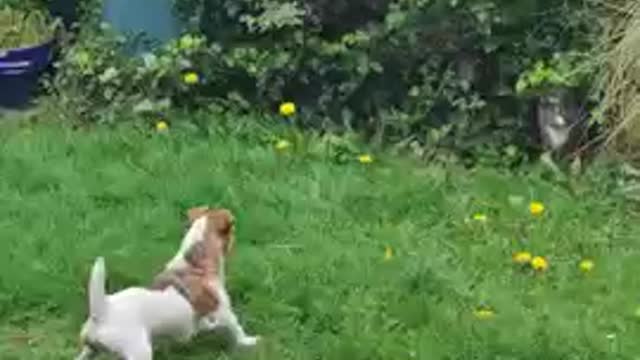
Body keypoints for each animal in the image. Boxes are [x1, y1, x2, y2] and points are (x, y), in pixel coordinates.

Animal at [77, 207, 260, 358]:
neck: (195, 262)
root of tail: (101, 313)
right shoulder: (223, 309)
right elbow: (236, 328)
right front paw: (249, 341)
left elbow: (203, 324)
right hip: (139, 351)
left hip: (89, 351)